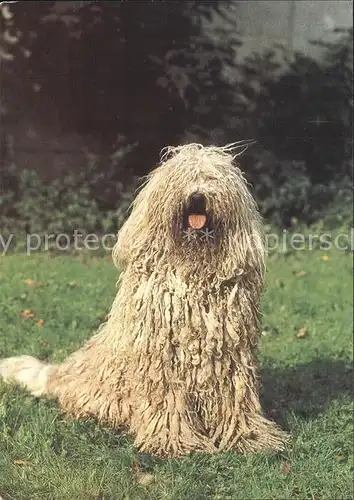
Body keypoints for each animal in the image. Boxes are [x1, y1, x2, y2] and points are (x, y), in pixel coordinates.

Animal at [0, 144, 288, 458]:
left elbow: (232, 399)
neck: (193, 271)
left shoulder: (230, 359)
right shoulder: (162, 358)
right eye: (183, 178)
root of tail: (62, 374)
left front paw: (248, 436)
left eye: (212, 178)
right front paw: (172, 440)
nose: (197, 196)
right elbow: (167, 400)